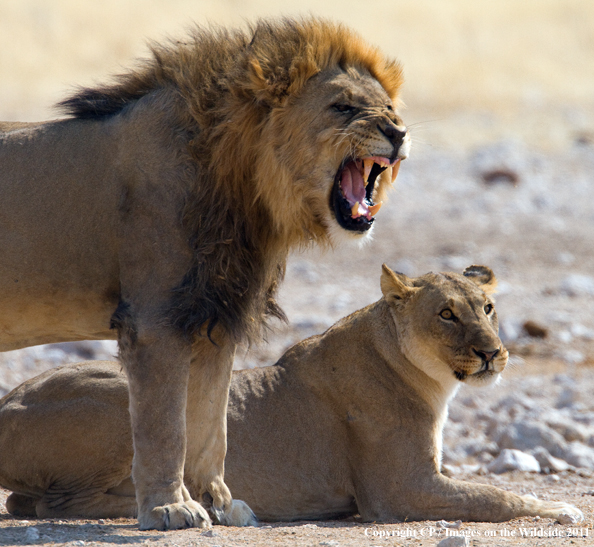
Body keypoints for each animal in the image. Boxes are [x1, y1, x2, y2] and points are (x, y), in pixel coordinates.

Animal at [0, 19, 408, 528]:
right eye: (343, 107)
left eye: (389, 107)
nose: (399, 133)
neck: (248, 188)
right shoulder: (155, 320)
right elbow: (165, 427)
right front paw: (169, 507)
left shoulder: (215, 318)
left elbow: (212, 424)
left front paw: (221, 503)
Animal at [0, 266, 580, 528]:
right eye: (446, 314)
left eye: (487, 307)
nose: (492, 353)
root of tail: (7, 404)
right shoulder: (399, 492)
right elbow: (494, 496)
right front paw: (558, 508)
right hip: (123, 392)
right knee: (56, 502)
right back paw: (203, 507)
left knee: (23, 502)